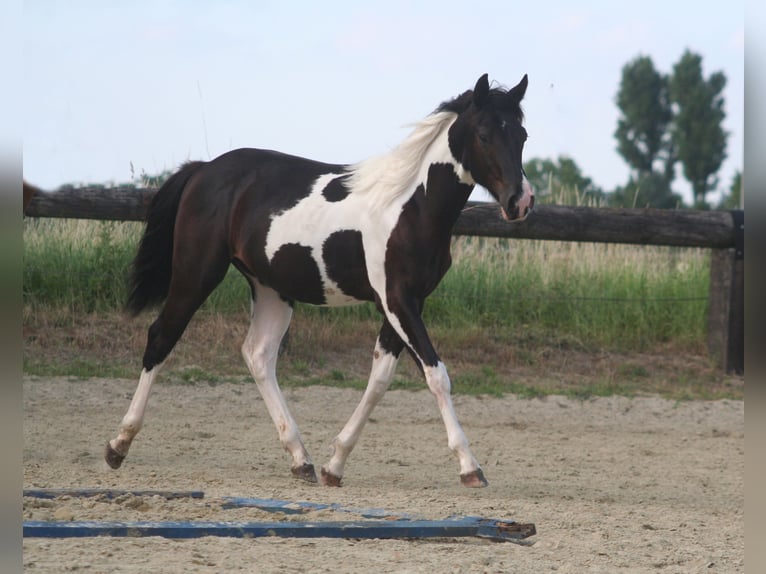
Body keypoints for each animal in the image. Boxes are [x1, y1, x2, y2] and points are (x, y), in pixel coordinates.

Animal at [105, 73, 534, 488]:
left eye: (522, 135)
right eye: (484, 134)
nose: (521, 201)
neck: (409, 205)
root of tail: (204, 169)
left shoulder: (409, 302)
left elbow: (380, 378)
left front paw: (335, 465)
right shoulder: (396, 299)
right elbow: (436, 374)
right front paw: (470, 467)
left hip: (271, 290)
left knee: (258, 354)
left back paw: (301, 460)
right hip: (196, 273)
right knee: (162, 337)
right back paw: (118, 445)